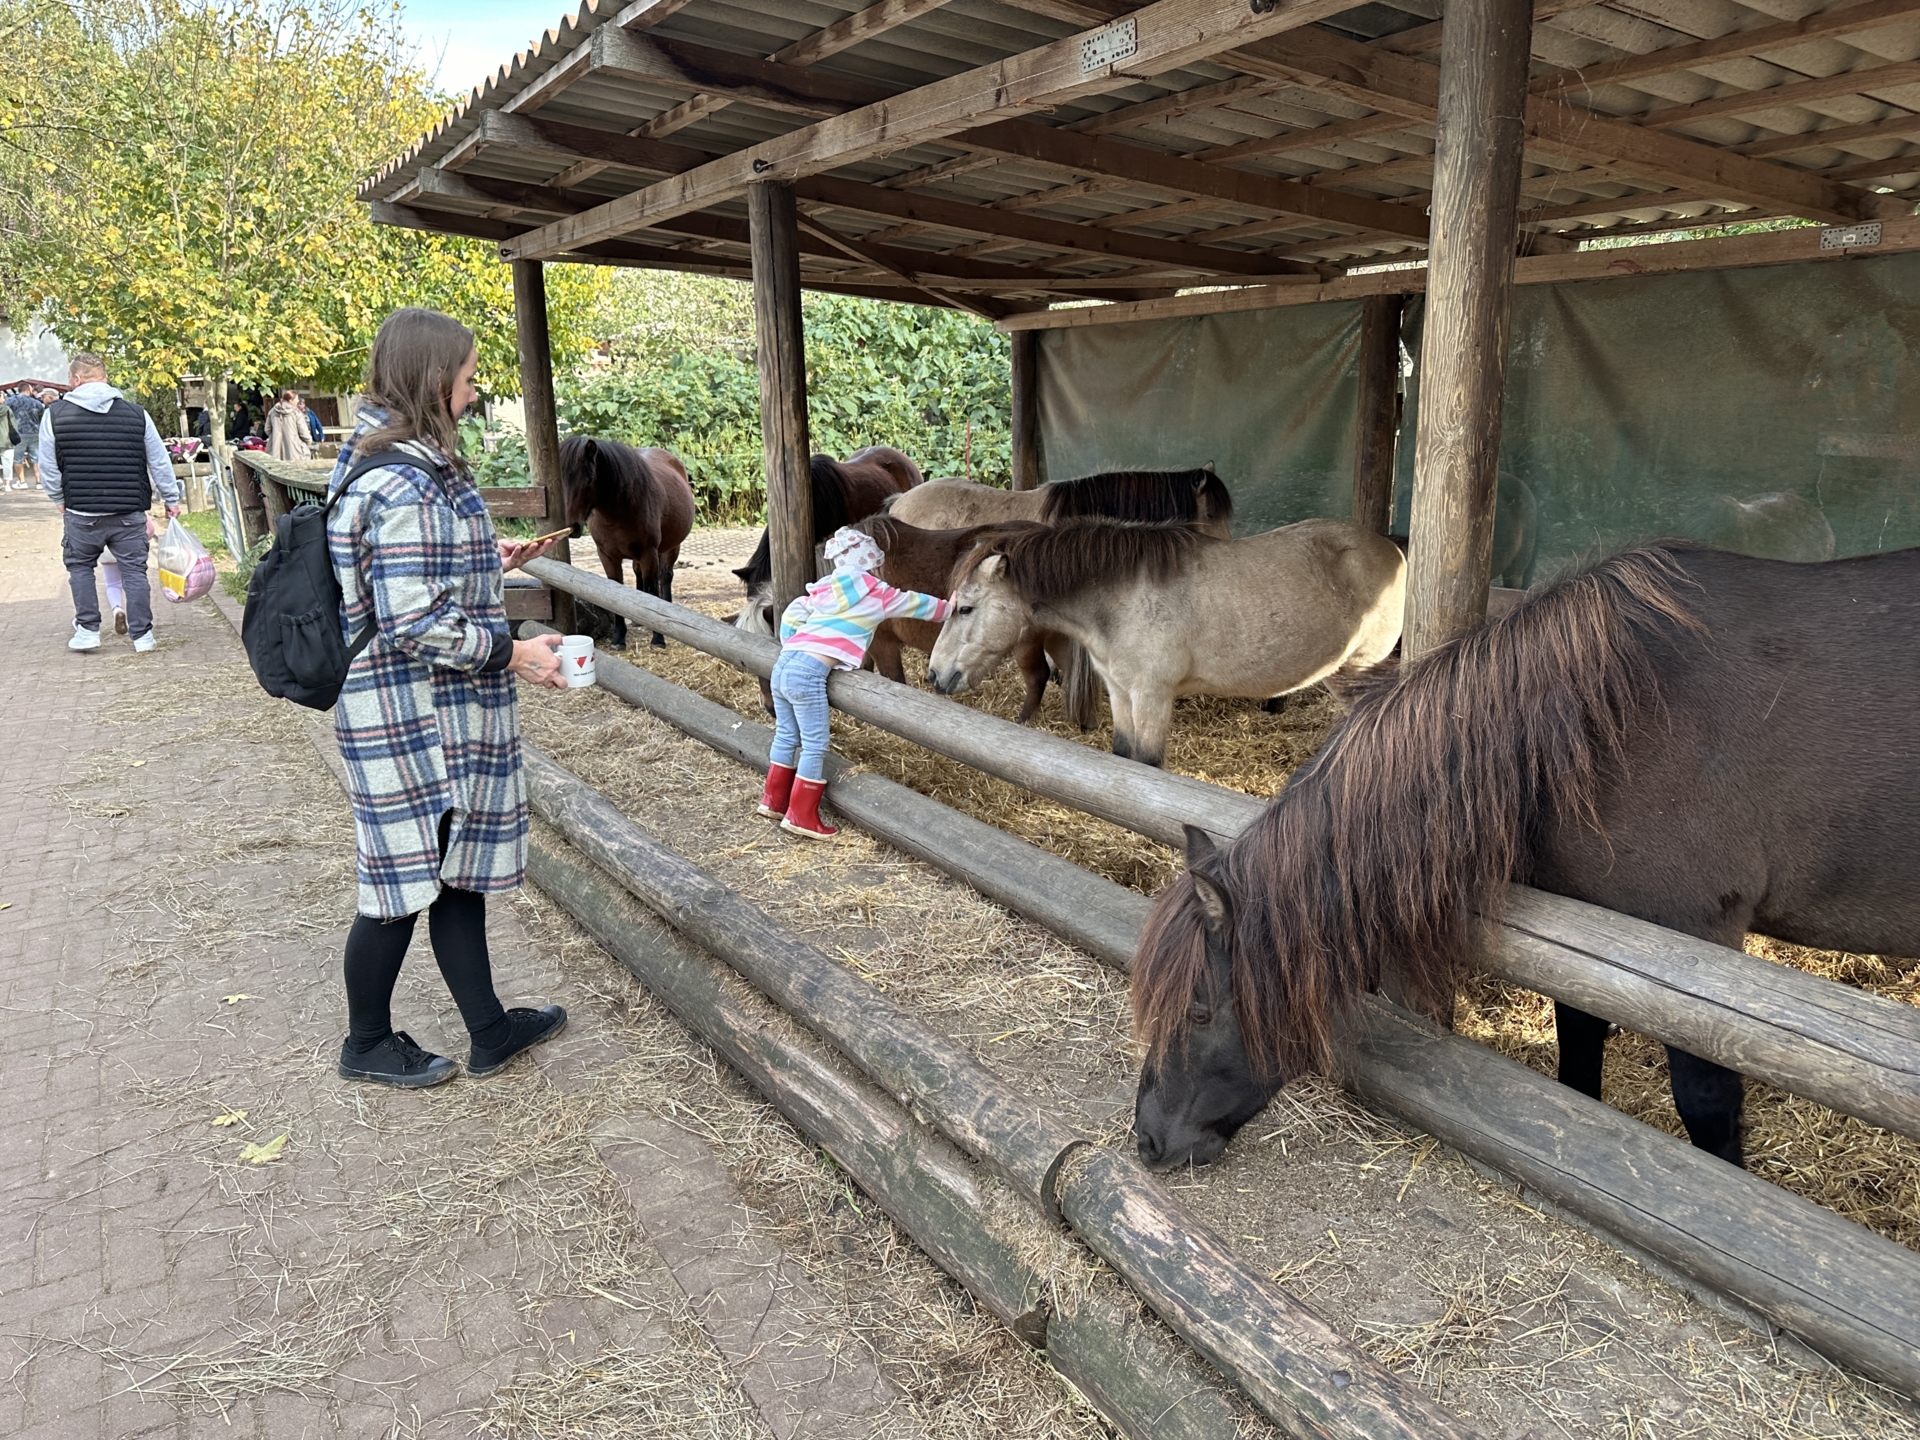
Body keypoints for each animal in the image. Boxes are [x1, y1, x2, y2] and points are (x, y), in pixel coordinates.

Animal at [560, 433, 695, 648]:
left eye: (589, 480)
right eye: (561, 481)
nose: (573, 527)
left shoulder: (649, 553)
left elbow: (652, 590)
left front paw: (658, 638)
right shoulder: (607, 556)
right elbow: (618, 592)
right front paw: (618, 637)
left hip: (671, 548)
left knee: (665, 577)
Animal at [1128, 541, 1920, 1175]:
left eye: (1199, 1010)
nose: (1147, 1140)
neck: (1613, 717)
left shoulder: (1699, 952)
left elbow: (1707, 1105)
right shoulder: (1593, 944)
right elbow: (1578, 1056)